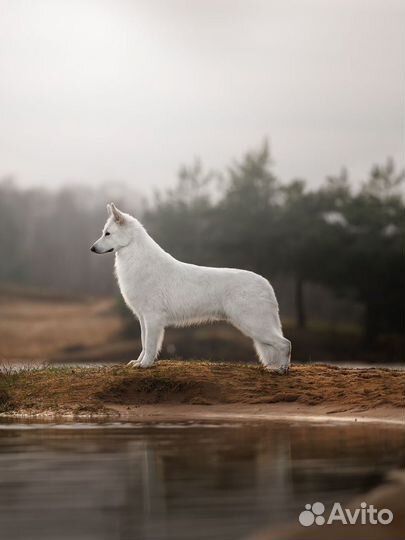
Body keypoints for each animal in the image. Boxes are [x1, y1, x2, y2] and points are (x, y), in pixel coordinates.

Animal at [90, 205, 290, 374]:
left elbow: (150, 345)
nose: (92, 248)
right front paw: (138, 362)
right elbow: (144, 343)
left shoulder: (153, 318)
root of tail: (266, 283)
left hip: (253, 324)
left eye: (107, 234)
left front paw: (145, 364)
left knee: (285, 344)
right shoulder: (143, 318)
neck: (135, 256)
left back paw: (282, 370)